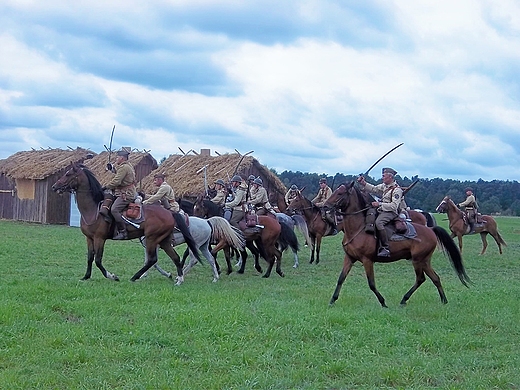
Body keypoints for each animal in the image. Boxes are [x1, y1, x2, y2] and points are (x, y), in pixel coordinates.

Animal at [50, 161, 201, 284]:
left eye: (68, 174)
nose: (54, 186)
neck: (93, 208)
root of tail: (170, 212)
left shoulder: (99, 238)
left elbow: (98, 260)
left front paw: (112, 276)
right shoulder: (89, 238)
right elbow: (90, 258)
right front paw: (86, 276)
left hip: (152, 238)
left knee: (152, 259)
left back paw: (135, 277)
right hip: (163, 240)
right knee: (175, 257)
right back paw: (179, 279)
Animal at [322, 183, 470, 308]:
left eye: (340, 193)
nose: (325, 206)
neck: (358, 228)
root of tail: (431, 230)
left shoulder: (367, 260)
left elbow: (371, 283)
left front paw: (383, 302)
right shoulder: (349, 258)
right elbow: (341, 279)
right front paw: (332, 300)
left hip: (418, 260)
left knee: (421, 279)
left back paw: (405, 299)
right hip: (425, 261)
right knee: (435, 278)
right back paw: (443, 300)